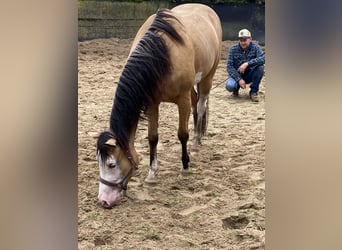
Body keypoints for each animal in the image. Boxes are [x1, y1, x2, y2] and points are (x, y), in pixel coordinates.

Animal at [96, 2, 222, 208]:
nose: (104, 201)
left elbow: (182, 134)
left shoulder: (182, 100)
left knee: (201, 105)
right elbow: (153, 138)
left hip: (207, 78)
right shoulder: (152, 103)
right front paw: (152, 174)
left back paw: (196, 142)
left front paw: (185, 167)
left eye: (111, 164)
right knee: (196, 104)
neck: (162, 55)